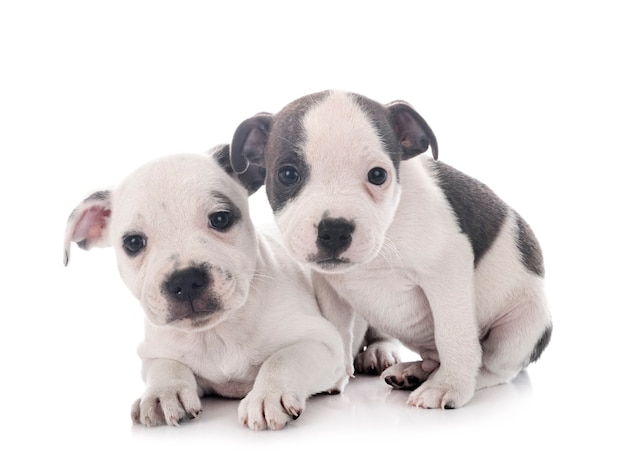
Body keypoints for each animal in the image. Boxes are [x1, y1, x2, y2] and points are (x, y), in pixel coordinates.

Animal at [63, 148, 346, 432]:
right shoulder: (153, 352)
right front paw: (163, 393)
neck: (214, 333)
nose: (185, 280)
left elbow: (284, 358)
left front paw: (267, 394)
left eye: (220, 219)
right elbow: (166, 366)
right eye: (133, 243)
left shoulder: (322, 342)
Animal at [229, 90, 552, 408]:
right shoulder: (328, 286)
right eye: (287, 175)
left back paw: (459, 379)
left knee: (497, 367)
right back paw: (415, 371)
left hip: (521, 325)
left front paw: (449, 386)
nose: (334, 230)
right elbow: (338, 329)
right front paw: (333, 374)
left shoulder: (446, 272)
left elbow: (453, 333)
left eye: (377, 175)